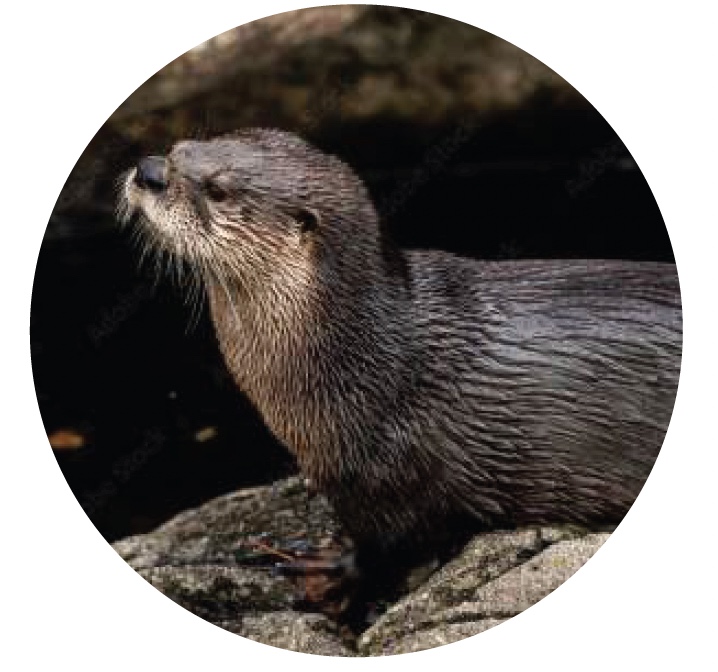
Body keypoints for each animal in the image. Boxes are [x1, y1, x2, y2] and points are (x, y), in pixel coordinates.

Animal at [119, 128, 682, 619]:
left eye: (217, 190)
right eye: (181, 147)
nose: (150, 171)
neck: (363, 359)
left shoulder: (395, 468)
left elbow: (393, 542)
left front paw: (327, 569)